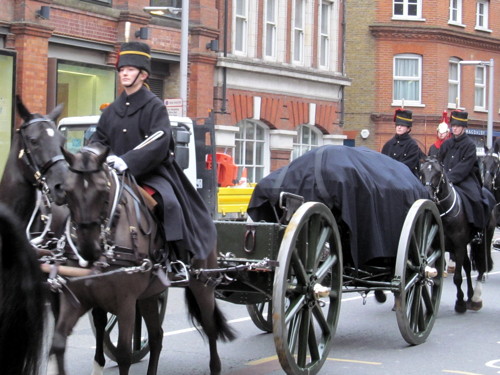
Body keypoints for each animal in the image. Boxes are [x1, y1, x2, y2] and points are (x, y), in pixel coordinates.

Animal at [49, 145, 235, 375]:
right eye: (67, 190)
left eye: (102, 190)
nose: (87, 248)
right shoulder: (76, 299)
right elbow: (58, 343)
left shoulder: (126, 303)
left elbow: (124, 354)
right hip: (149, 296)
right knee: (156, 336)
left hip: (203, 285)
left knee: (210, 328)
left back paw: (215, 366)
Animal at [420, 159, 494, 314]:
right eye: (422, 171)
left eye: (438, 173)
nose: (428, 195)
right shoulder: (435, 248)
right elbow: (436, 275)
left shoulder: (459, 247)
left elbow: (458, 278)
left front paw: (459, 303)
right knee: (467, 266)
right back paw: (470, 296)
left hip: (483, 241)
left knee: (481, 267)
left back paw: (475, 298)